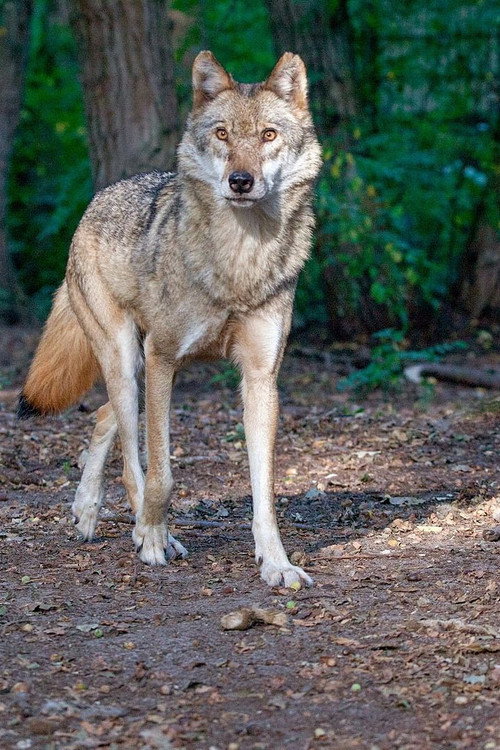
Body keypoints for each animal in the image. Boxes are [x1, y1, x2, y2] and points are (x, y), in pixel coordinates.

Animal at [18, 51, 322, 588]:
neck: (238, 261)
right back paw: (142, 530)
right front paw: (154, 538)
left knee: (104, 418)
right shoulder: (163, 360)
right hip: (127, 360)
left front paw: (277, 564)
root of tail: (98, 198)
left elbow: (264, 490)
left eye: (268, 135)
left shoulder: (261, 378)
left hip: (133, 370)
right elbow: (162, 473)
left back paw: (87, 510)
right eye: (222, 133)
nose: (240, 181)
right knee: (129, 452)